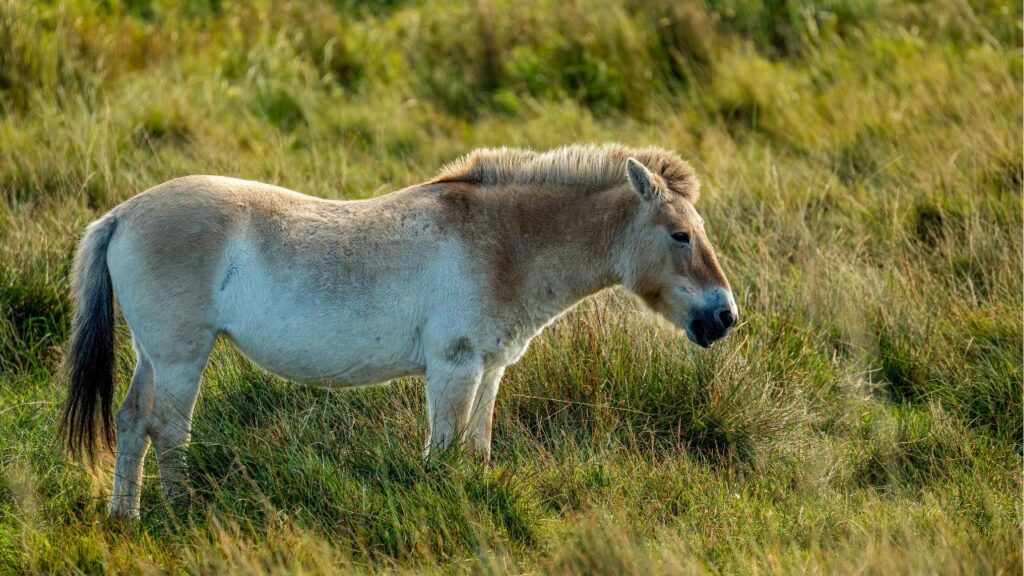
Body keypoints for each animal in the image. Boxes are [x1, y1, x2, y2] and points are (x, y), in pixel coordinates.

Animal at [58, 143, 738, 518]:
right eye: (680, 234)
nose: (725, 316)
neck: (505, 243)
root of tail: (124, 213)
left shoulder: (489, 369)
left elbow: (475, 451)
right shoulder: (454, 369)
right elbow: (443, 453)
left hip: (155, 355)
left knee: (131, 424)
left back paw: (126, 517)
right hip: (182, 357)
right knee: (167, 432)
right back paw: (179, 513)